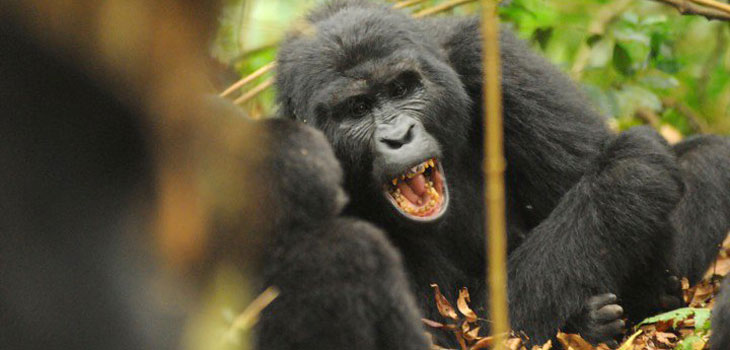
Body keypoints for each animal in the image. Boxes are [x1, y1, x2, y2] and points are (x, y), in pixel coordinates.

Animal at [274, 0, 728, 346]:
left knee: (712, 155)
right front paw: (630, 175)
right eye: (356, 109)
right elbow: (463, 331)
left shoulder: (492, 59)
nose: (399, 137)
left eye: (401, 89)